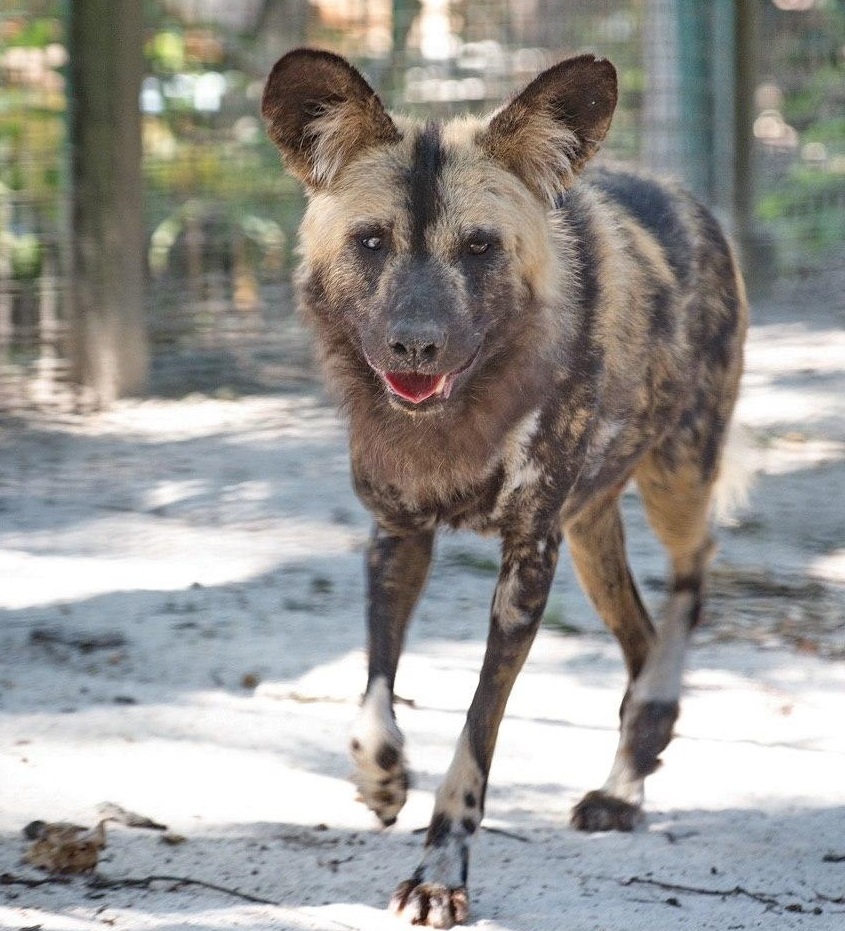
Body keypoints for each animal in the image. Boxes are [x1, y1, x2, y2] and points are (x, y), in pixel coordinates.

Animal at [262, 49, 744, 931]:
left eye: (479, 247)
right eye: (370, 241)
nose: (415, 345)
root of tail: (679, 191)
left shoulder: (527, 563)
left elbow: (473, 736)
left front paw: (439, 871)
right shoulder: (397, 535)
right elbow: (374, 701)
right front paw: (382, 781)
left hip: (676, 479)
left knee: (691, 580)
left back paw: (641, 743)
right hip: (589, 533)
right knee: (638, 638)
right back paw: (630, 774)